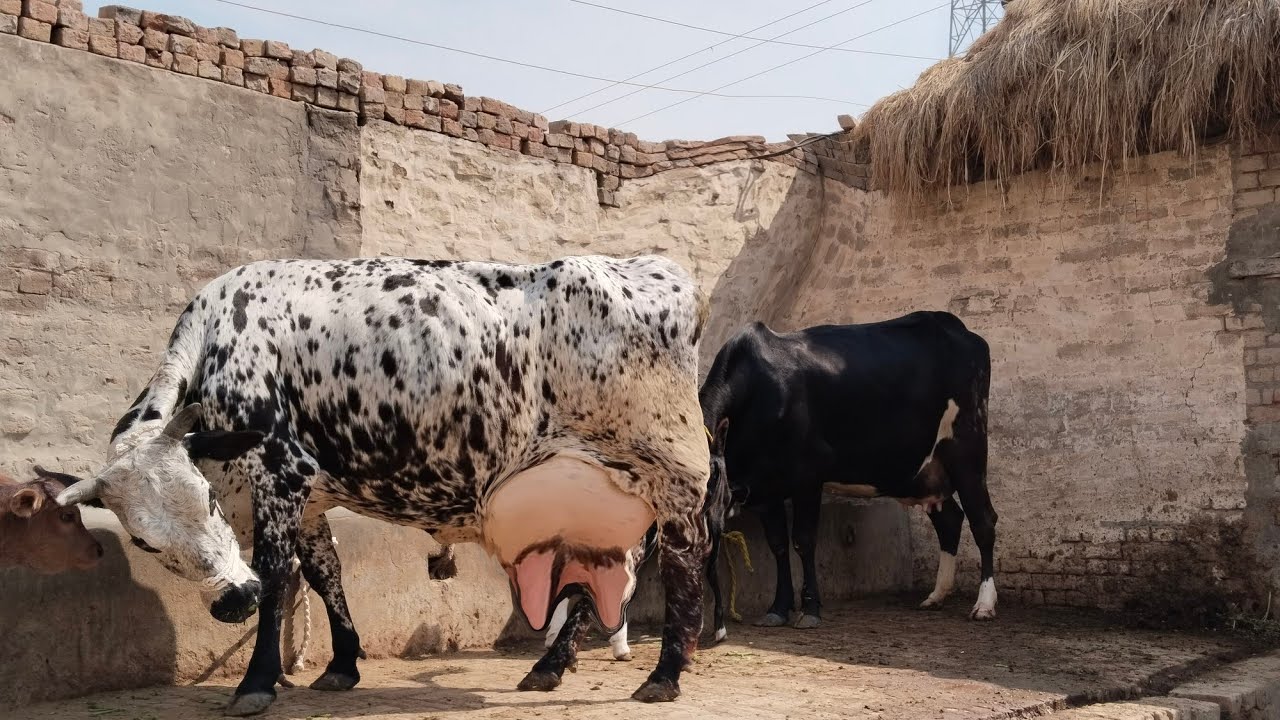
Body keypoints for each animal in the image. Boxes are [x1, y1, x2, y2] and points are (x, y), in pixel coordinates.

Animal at [50, 254, 712, 716]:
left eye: (207, 499)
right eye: (143, 541)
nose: (231, 601)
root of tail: (660, 270)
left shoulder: (280, 472)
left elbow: (276, 573)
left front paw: (256, 683)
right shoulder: (310, 495)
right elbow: (325, 574)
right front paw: (342, 665)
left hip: (675, 477)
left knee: (682, 565)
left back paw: (664, 676)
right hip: (609, 494)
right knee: (602, 578)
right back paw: (550, 666)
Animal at [698, 311, 997, 629]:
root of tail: (956, 327)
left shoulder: (808, 474)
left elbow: (803, 540)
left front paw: (811, 609)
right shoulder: (764, 487)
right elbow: (777, 545)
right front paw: (778, 608)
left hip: (968, 448)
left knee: (983, 521)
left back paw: (984, 604)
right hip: (926, 473)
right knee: (950, 520)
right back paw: (936, 596)